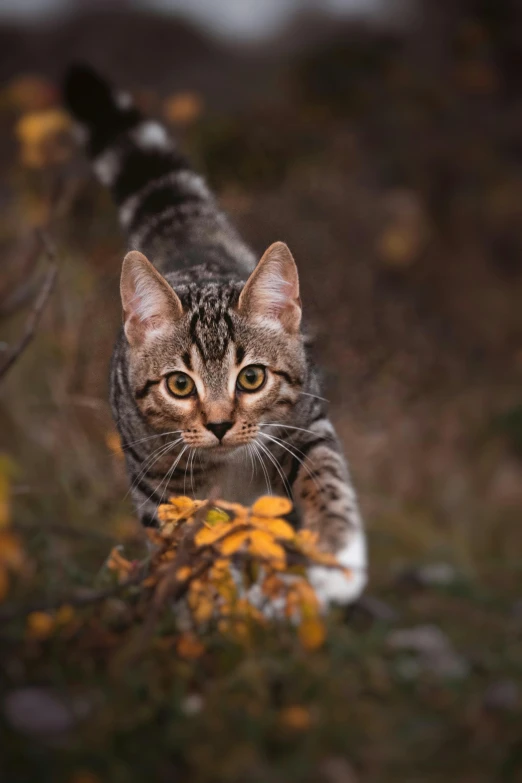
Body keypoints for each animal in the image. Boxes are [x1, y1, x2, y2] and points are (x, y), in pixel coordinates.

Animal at [63, 66, 366, 608]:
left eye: (252, 378)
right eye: (180, 385)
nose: (221, 424)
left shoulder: (306, 422)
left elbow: (325, 476)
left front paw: (337, 552)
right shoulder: (158, 481)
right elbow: (184, 541)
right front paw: (205, 600)